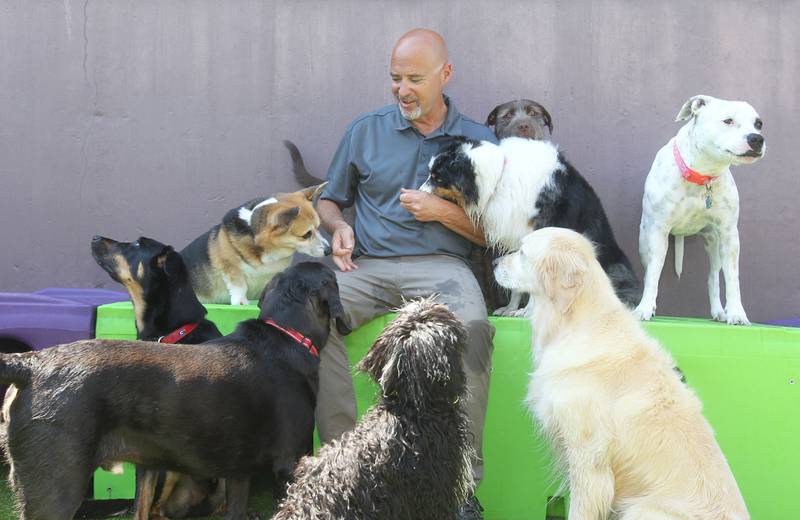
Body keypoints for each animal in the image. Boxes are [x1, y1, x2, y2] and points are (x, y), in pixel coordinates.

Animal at [636, 95, 764, 322]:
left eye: (758, 124)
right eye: (728, 121)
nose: (757, 139)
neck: (703, 174)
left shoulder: (729, 236)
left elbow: (732, 278)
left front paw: (736, 313)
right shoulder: (658, 233)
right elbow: (653, 274)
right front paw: (644, 308)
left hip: (714, 243)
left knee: (713, 277)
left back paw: (719, 311)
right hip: (644, 241)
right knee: (649, 270)